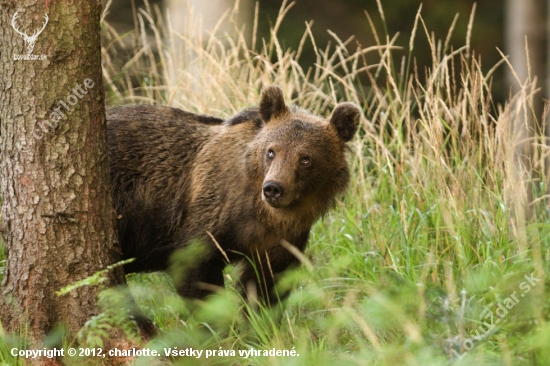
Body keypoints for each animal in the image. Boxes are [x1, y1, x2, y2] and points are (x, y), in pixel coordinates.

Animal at [106, 86, 362, 304]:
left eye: (306, 158)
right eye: (271, 151)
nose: (273, 188)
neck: (263, 215)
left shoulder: (285, 238)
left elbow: (266, 284)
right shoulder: (210, 213)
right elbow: (195, 268)